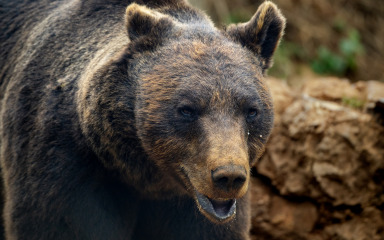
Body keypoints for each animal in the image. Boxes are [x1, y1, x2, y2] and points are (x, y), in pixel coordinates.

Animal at [0, 0, 282, 239]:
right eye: (187, 109)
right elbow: (57, 222)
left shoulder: (195, 208)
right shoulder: (62, 158)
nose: (228, 176)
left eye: (251, 110)